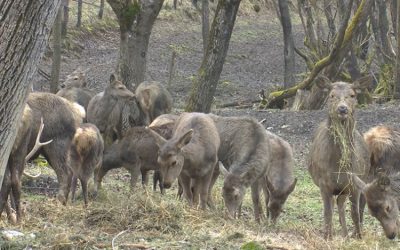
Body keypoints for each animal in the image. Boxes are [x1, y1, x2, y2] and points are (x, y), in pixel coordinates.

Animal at [310, 81, 372, 239]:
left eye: (352, 95)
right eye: (332, 95)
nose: (342, 108)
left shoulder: (354, 183)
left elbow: (355, 213)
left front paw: (358, 236)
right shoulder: (324, 183)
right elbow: (327, 212)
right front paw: (327, 237)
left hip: (346, 188)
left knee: (341, 204)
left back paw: (345, 234)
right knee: (334, 205)